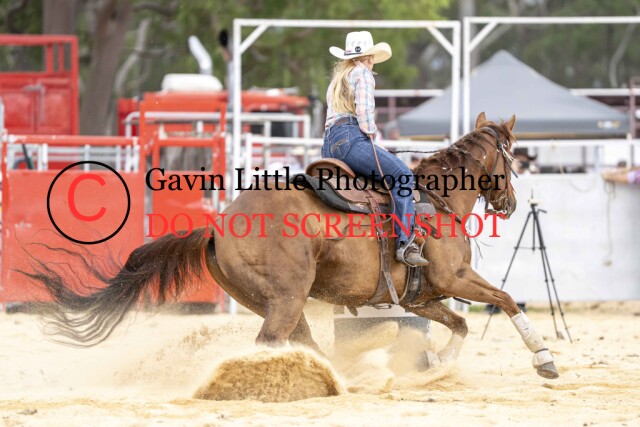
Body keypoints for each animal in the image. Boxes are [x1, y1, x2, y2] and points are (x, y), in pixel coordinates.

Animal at [23, 112, 559, 380]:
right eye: (512, 159)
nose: (511, 202)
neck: (437, 199)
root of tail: (219, 225)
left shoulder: (421, 298)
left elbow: (461, 324)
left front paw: (435, 366)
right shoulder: (455, 278)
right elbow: (506, 300)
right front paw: (544, 359)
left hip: (274, 300)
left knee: (300, 342)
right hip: (286, 296)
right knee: (270, 343)